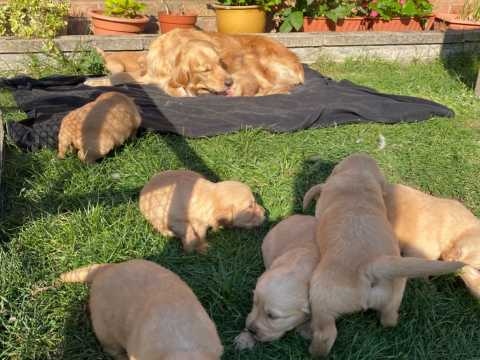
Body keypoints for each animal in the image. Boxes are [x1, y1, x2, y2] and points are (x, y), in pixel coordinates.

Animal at [235, 214, 320, 348]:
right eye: (254, 303)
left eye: (273, 317)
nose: (251, 330)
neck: (299, 266)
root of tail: (298, 215)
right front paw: (245, 338)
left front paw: (307, 329)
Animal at [304, 153, 464, 358]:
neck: (357, 179)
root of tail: (370, 266)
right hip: (394, 294)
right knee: (388, 319)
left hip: (322, 297)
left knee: (326, 334)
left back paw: (313, 348)